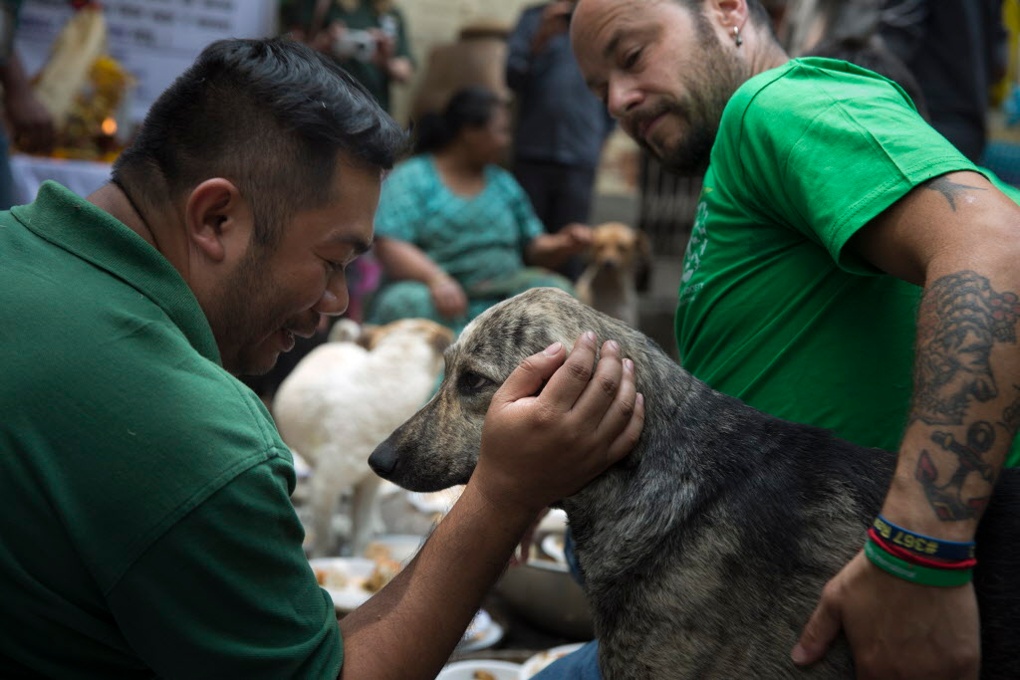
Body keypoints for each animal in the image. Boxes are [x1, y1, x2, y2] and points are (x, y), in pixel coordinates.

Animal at [271, 316, 450, 554]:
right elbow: (324, 539)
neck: (387, 382)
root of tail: (341, 343)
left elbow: (360, 531)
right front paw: (322, 552)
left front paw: (357, 551)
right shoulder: (324, 487)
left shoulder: (369, 482)